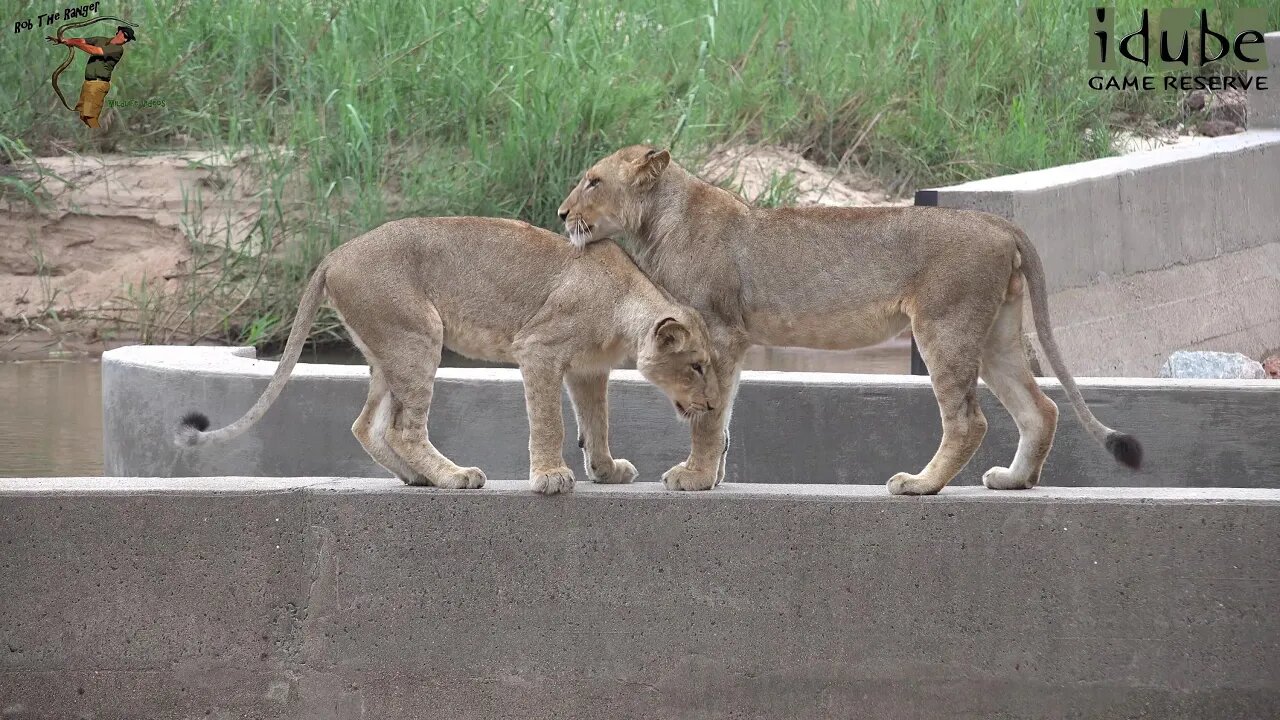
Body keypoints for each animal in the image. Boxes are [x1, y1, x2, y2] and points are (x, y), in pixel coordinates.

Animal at [175, 215, 721, 489]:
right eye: (695, 366)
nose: (714, 404)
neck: (626, 301)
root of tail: (334, 254)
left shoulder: (588, 372)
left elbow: (598, 422)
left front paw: (606, 471)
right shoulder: (539, 348)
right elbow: (551, 422)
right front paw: (551, 477)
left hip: (390, 349)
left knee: (367, 424)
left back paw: (418, 478)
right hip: (418, 336)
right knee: (403, 428)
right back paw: (454, 476)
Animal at [555, 146, 1146, 491]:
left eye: (593, 181)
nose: (560, 214)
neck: (660, 221)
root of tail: (997, 223)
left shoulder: (717, 333)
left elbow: (707, 416)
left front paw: (695, 478)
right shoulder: (733, 343)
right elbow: (722, 415)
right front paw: (714, 476)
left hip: (944, 326)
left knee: (968, 420)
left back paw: (920, 484)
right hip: (996, 335)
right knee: (1041, 408)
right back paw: (1014, 480)